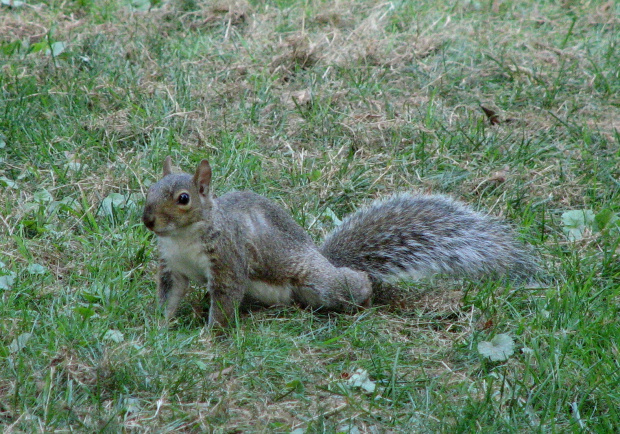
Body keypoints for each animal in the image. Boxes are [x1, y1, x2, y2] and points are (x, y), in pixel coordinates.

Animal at [143, 158, 536, 328]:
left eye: (183, 199)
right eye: (149, 189)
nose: (147, 220)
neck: (182, 239)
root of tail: (325, 259)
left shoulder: (228, 258)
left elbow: (224, 302)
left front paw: (208, 338)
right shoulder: (173, 267)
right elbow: (169, 296)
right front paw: (157, 330)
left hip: (317, 282)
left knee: (352, 285)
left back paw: (363, 297)